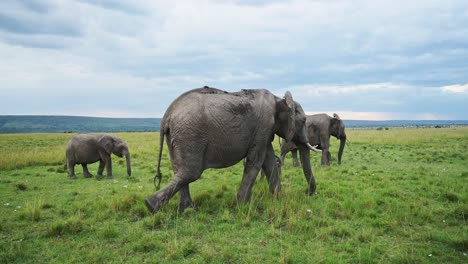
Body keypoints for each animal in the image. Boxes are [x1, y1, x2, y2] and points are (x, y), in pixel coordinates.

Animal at [145, 86, 322, 214]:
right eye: (303, 121)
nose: (307, 193)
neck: (279, 99)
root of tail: (167, 116)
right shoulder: (264, 125)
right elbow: (256, 161)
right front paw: (242, 205)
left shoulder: (265, 131)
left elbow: (269, 161)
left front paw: (279, 198)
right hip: (190, 134)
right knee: (190, 172)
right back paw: (151, 206)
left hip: (178, 136)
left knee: (180, 170)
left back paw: (187, 211)